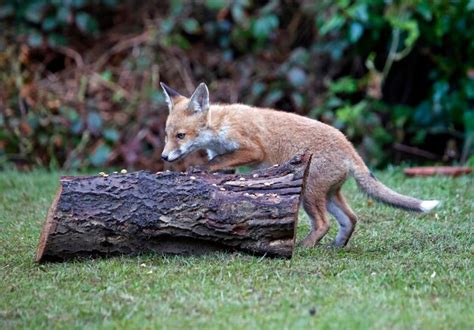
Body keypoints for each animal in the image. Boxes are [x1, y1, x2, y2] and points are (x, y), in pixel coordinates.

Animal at [159, 82, 440, 248]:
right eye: (166, 135)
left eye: (180, 136)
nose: (163, 157)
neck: (220, 124)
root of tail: (350, 148)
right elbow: (222, 167)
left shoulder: (252, 148)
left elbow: (217, 160)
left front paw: (198, 170)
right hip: (328, 195)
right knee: (350, 218)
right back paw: (335, 247)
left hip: (310, 193)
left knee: (324, 223)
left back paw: (304, 247)